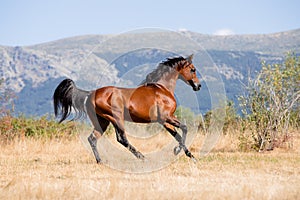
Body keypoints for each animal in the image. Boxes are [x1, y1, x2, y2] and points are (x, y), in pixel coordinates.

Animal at [53, 54, 202, 162]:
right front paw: (177, 151)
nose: (198, 86)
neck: (162, 89)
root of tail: (91, 94)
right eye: (193, 69)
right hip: (116, 118)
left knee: (92, 138)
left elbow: (178, 135)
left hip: (102, 121)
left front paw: (191, 157)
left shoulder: (165, 121)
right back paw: (142, 157)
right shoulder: (167, 117)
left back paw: (100, 161)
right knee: (121, 139)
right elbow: (185, 128)